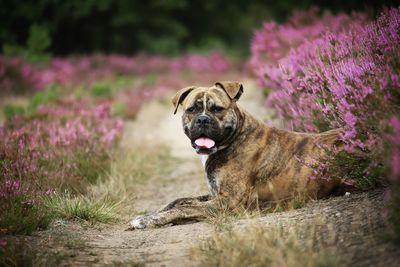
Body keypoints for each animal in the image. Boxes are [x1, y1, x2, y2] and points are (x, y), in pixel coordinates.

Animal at [129, 80, 344, 229]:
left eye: (217, 109)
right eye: (192, 109)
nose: (203, 120)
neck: (235, 137)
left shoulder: (229, 201)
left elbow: (185, 208)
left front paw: (150, 220)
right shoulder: (216, 195)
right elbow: (180, 201)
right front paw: (150, 214)